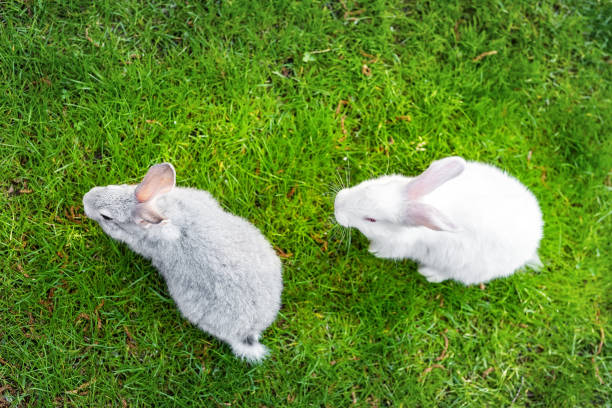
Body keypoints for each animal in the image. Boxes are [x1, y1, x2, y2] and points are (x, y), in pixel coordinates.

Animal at [334, 156, 544, 284]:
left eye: (371, 219)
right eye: (371, 186)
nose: (337, 205)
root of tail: (534, 241)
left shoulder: (398, 247)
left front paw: (373, 250)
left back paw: (429, 273)